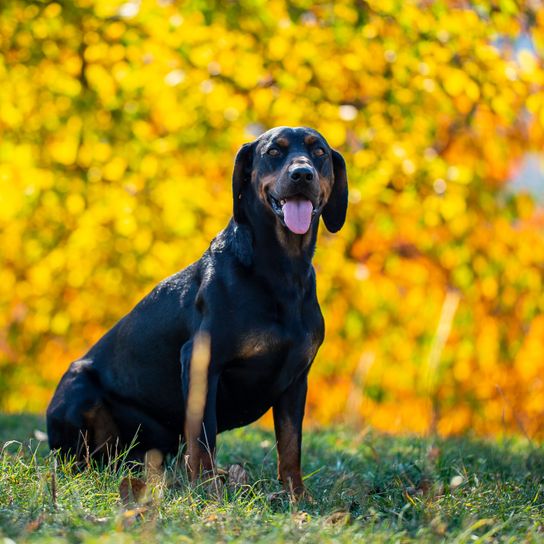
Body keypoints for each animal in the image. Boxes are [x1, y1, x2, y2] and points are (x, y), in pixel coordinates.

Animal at [44, 126, 346, 498]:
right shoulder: (202, 360)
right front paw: (206, 492)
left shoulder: (296, 379)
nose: (301, 174)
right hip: (77, 390)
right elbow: (203, 436)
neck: (281, 270)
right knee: (82, 459)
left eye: (319, 152)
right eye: (274, 151)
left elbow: (290, 444)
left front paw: (296, 495)